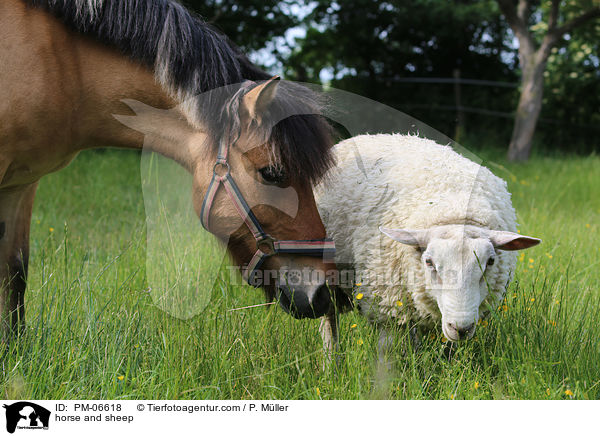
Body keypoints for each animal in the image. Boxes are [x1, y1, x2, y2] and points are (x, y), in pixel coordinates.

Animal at [316, 133, 540, 350]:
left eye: (491, 262)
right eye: (429, 262)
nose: (461, 328)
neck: (456, 210)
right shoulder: (390, 309)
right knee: (330, 321)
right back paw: (331, 357)